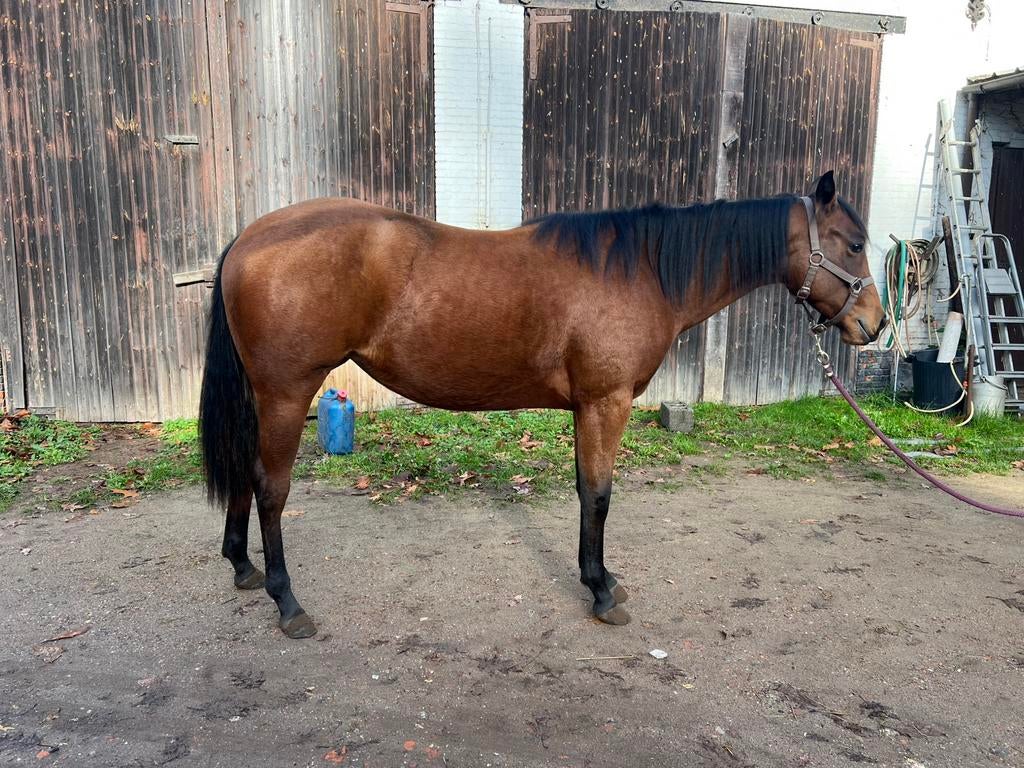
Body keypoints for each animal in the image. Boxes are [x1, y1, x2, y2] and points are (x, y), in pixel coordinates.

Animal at [199, 170, 885, 638]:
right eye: (853, 244)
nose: (874, 325)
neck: (639, 270)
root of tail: (249, 238)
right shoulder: (605, 403)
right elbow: (599, 496)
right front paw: (601, 592)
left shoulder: (589, 407)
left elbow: (586, 492)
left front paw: (602, 580)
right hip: (288, 392)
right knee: (271, 489)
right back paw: (288, 602)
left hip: (265, 396)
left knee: (245, 474)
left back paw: (243, 567)